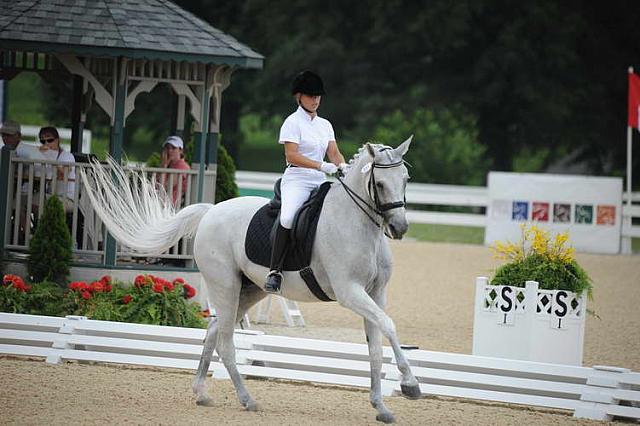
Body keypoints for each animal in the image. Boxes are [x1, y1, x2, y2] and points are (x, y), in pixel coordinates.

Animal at [80, 137, 420, 422]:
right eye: (379, 183)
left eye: (405, 179)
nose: (399, 227)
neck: (357, 223)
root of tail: (210, 212)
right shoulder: (350, 292)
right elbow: (389, 326)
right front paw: (410, 385)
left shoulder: (375, 294)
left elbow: (376, 348)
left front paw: (381, 407)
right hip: (225, 286)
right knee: (226, 342)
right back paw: (247, 399)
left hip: (250, 290)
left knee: (214, 332)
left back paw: (202, 393)